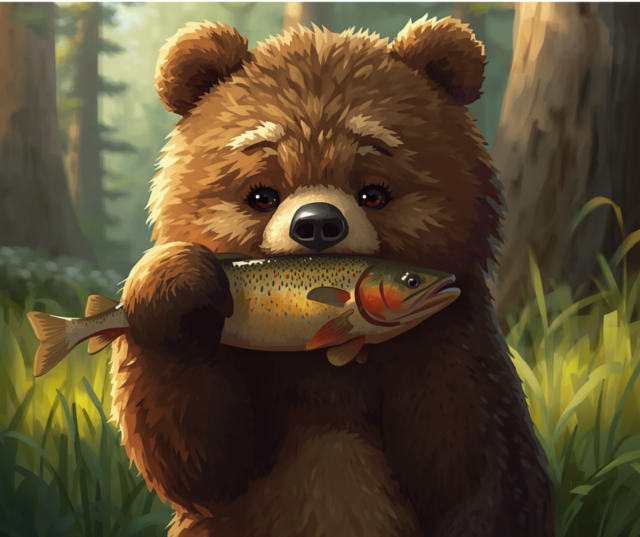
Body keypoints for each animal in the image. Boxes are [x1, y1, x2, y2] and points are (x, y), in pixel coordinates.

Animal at [109, 15, 556, 537]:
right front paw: (175, 281)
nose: (318, 224)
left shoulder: (449, 347)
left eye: (374, 193)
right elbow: (206, 462)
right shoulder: (244, 363)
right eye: (261, 195)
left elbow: (478, 470)